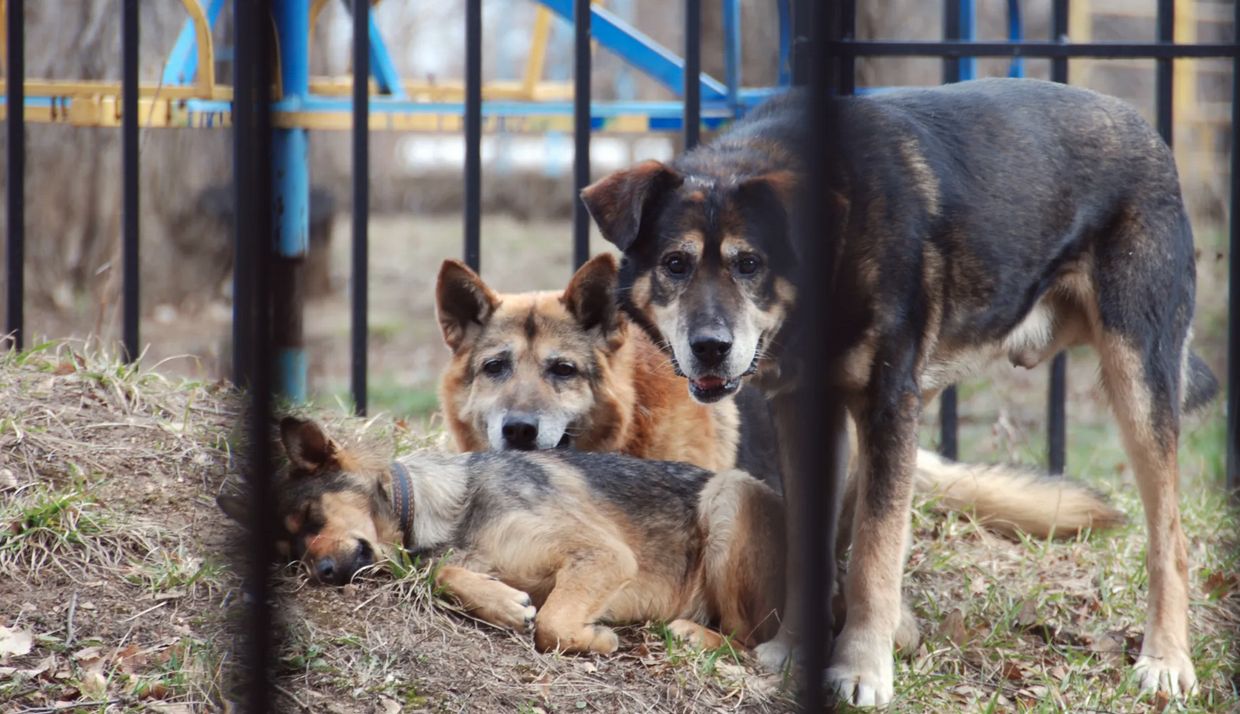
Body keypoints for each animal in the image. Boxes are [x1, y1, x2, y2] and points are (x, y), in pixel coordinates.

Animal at [582, 76, 1220, 704]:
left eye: (750, 264)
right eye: (675, 263)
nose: (710, 347)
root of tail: (1145, 128)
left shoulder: (888, 403)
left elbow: (874, 554)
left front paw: (862, 671)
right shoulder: (810, 412)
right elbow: (811, 545)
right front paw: (794, 651)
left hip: (1136, 377)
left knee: (1170, 539)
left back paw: (1166, 661)